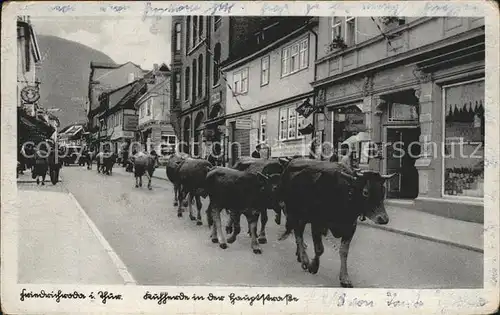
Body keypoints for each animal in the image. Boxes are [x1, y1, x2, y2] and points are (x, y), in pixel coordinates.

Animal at [280, 160, 396, 288]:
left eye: (383, 190)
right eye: (366, 192)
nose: (383, 219)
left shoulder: (350, 227)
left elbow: (343, 252)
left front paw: (345, 278)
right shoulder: (317, 223)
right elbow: (319, 249)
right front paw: (313, 266)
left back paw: (300, 256)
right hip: (293, 213)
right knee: (298, 235)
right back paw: (304, 259)